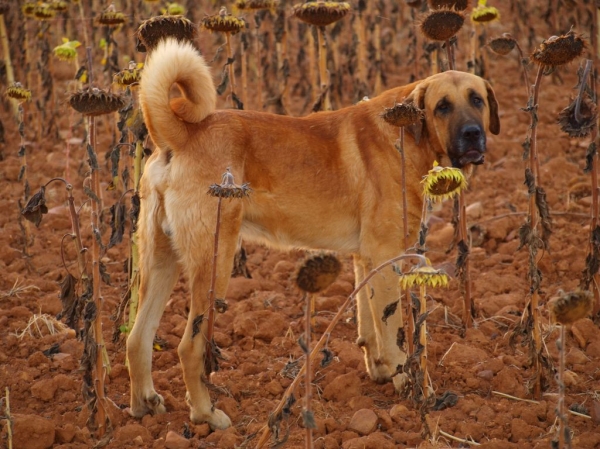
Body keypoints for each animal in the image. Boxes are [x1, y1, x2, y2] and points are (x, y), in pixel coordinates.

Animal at [129, 37, 500, 428]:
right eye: (442, 106)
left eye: (477, 99)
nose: (473, 135)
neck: (407, 134)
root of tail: (183, 134)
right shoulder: (387, 258)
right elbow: (393, 331)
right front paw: (414, 388)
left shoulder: (366, 258)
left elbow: (369, 325)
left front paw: (380, 371)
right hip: (214, 262)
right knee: (189, 346)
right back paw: (207, 415)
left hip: (160, 262)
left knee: (137, 338)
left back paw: (143, 405)